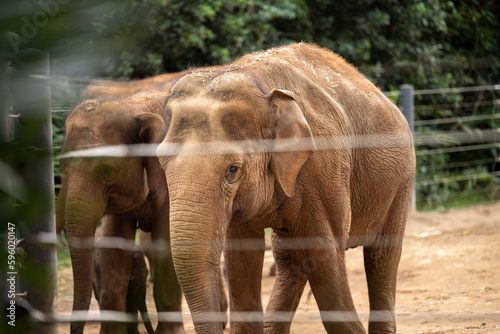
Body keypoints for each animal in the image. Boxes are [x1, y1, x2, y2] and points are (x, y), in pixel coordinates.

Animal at [158, 41, 416, 334]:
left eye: (233, 170)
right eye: (161, 162)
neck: (259, 82)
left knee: (381, 257)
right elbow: (242, 261)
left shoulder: (323, 169)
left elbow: (325, 262)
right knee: (290, 258)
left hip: (402, 181)